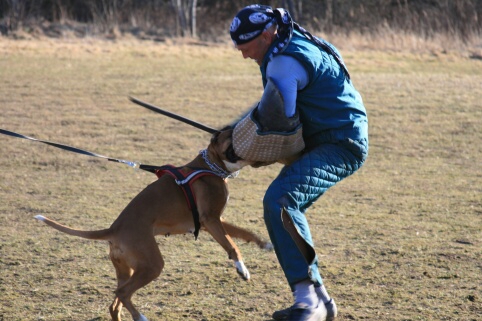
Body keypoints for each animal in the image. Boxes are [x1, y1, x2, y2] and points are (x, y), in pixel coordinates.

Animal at [34, 128, 272, 320]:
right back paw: (141, 317)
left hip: (128, 270)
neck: (211, 165)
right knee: (122, 294)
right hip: (152, 265)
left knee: (115, 303)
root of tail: (113, 230)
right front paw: (242, 270)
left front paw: (265, 245)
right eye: (229, 134)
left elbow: (245, 233)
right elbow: (233, 245)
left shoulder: (216, 221)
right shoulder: (210, 220)